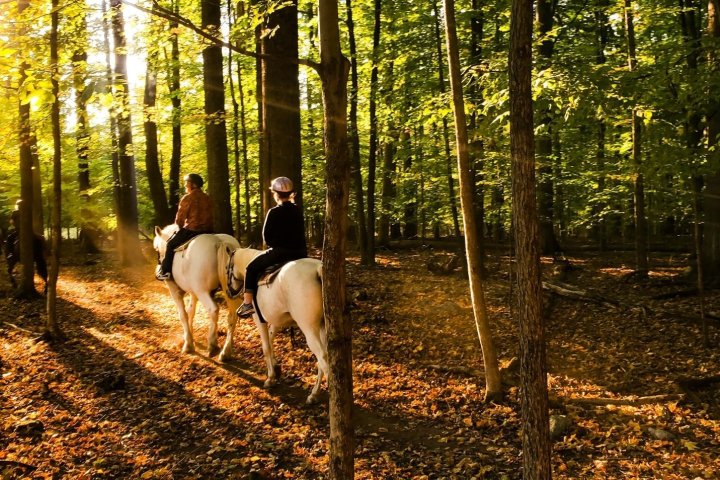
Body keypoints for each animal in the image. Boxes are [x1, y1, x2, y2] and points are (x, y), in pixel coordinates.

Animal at [153, 224, 243, 361]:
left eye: (157, 248)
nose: (159, 270)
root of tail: (219, 242)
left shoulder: (174, 291)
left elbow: (183, 314)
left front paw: (188, 344)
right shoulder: (193, 292)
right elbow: (191, 311)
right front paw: (188, 336)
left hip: (202, 292)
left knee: (213, 310)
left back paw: (212, 344)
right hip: (227, 290)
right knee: (232, 316)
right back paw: (226, 351)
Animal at [219, 245, 327, 404]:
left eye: (227, 267)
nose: (229, 292)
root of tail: (318, 270)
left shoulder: (259, 320)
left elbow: (266, 347)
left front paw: (270, 378)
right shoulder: (276, 321)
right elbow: (270, 341)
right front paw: (275, 367)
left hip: (310, 329)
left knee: (323, 358)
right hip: (323, 327)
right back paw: (314, 393)